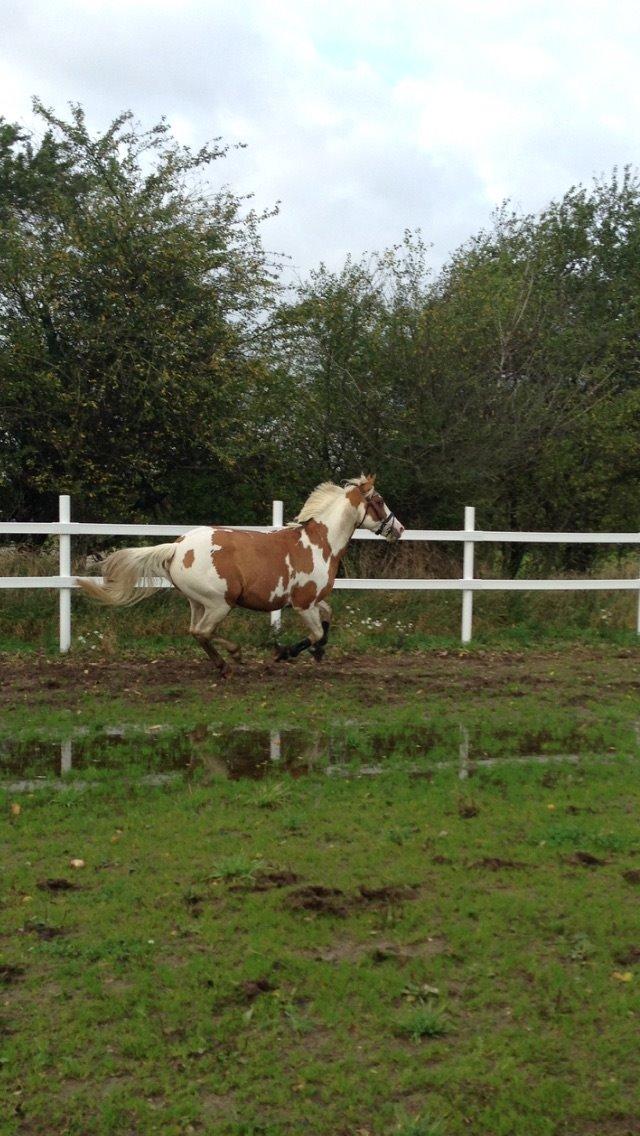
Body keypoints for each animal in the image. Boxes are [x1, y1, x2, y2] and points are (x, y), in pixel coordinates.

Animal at [77, 472, 402, 672]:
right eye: (379, 501)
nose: (398, 529)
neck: (320, 544)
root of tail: (178, 546)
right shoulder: (302, 603)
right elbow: (315, 632)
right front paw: (283, 652)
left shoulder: (314, 599)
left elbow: (328, 618)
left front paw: (319, 651)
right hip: (219, 603)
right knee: (204, 631)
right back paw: (232, 658)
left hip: (197, 602)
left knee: (195, 631)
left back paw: (224, 662)